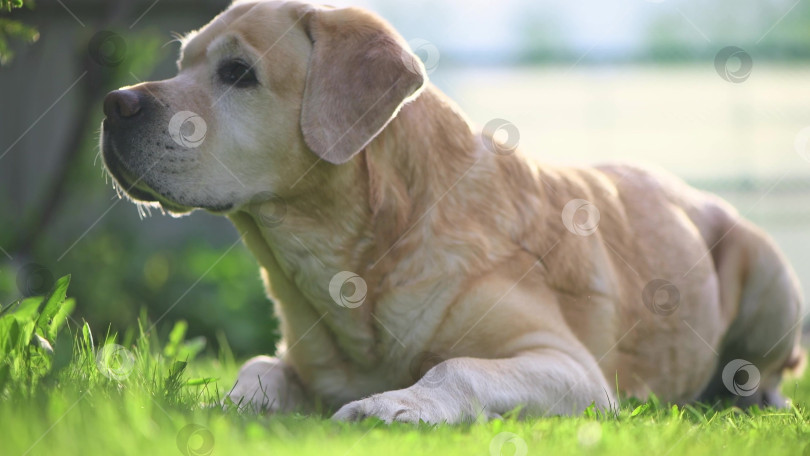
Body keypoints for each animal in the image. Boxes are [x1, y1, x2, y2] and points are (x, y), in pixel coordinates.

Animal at [101, 0, 800, 422]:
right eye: (183, 62)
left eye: (238, 73)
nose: (113, 103)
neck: (364, 257)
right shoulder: (292, 356)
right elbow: (257, 367)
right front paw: (229, 407)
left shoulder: (572, 369)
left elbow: (458, 367)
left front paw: (392, 406)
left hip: (771, 279)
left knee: (767, 369)